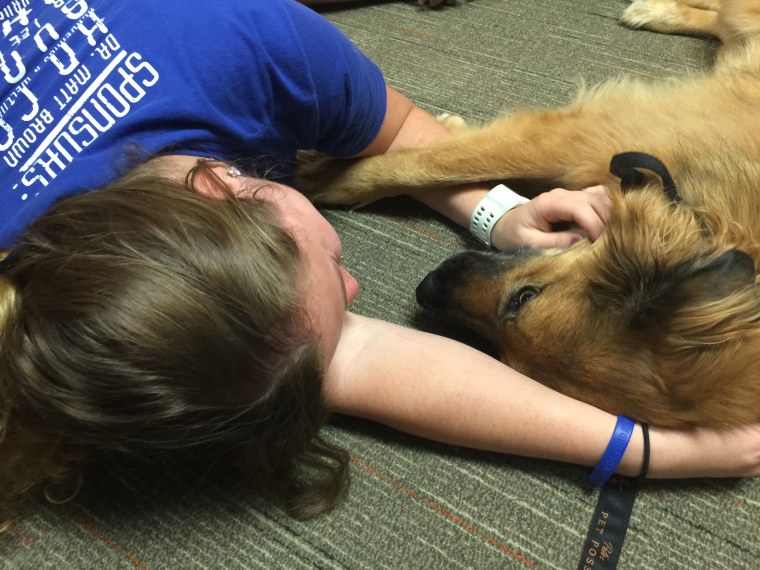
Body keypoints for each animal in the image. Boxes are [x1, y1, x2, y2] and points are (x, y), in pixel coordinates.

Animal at [296, 0, 760, 426]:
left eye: (504, 354)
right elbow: (425, 164)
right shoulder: (578, 138)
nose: (426, 287)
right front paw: (326, 178)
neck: (701, 207)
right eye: (527, 295)